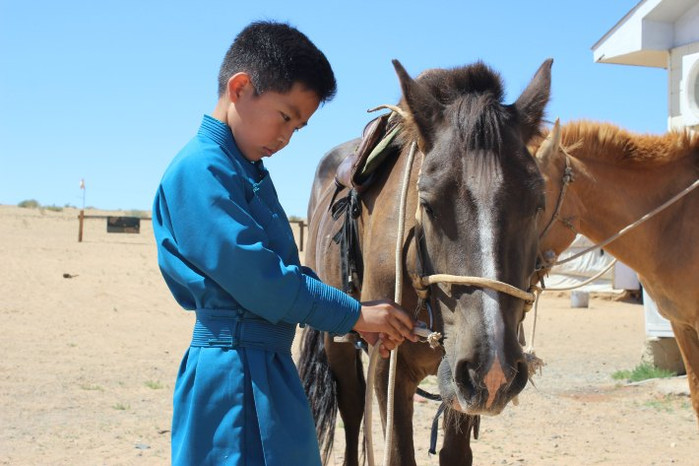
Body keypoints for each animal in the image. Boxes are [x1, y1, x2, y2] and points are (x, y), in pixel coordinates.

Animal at [300, 59, 552, 466]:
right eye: (429, 204)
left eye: (537, 204)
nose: (493, 367)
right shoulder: (388, 366)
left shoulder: (462, 381)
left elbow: (455, 453)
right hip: (336, 338)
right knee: (352, 410)